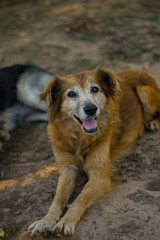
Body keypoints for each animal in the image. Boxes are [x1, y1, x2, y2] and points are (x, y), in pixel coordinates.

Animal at [28, 67, 159, 236]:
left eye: (95, 89)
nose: (91, 109)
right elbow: (58, 199)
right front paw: (46, 220)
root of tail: (139, 71)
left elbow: (80, 198)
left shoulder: (100, 176)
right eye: (71, 94)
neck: (80, 138)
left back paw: (154, 122)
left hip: (144, 90)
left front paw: (66, 221)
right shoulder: (68, 169)